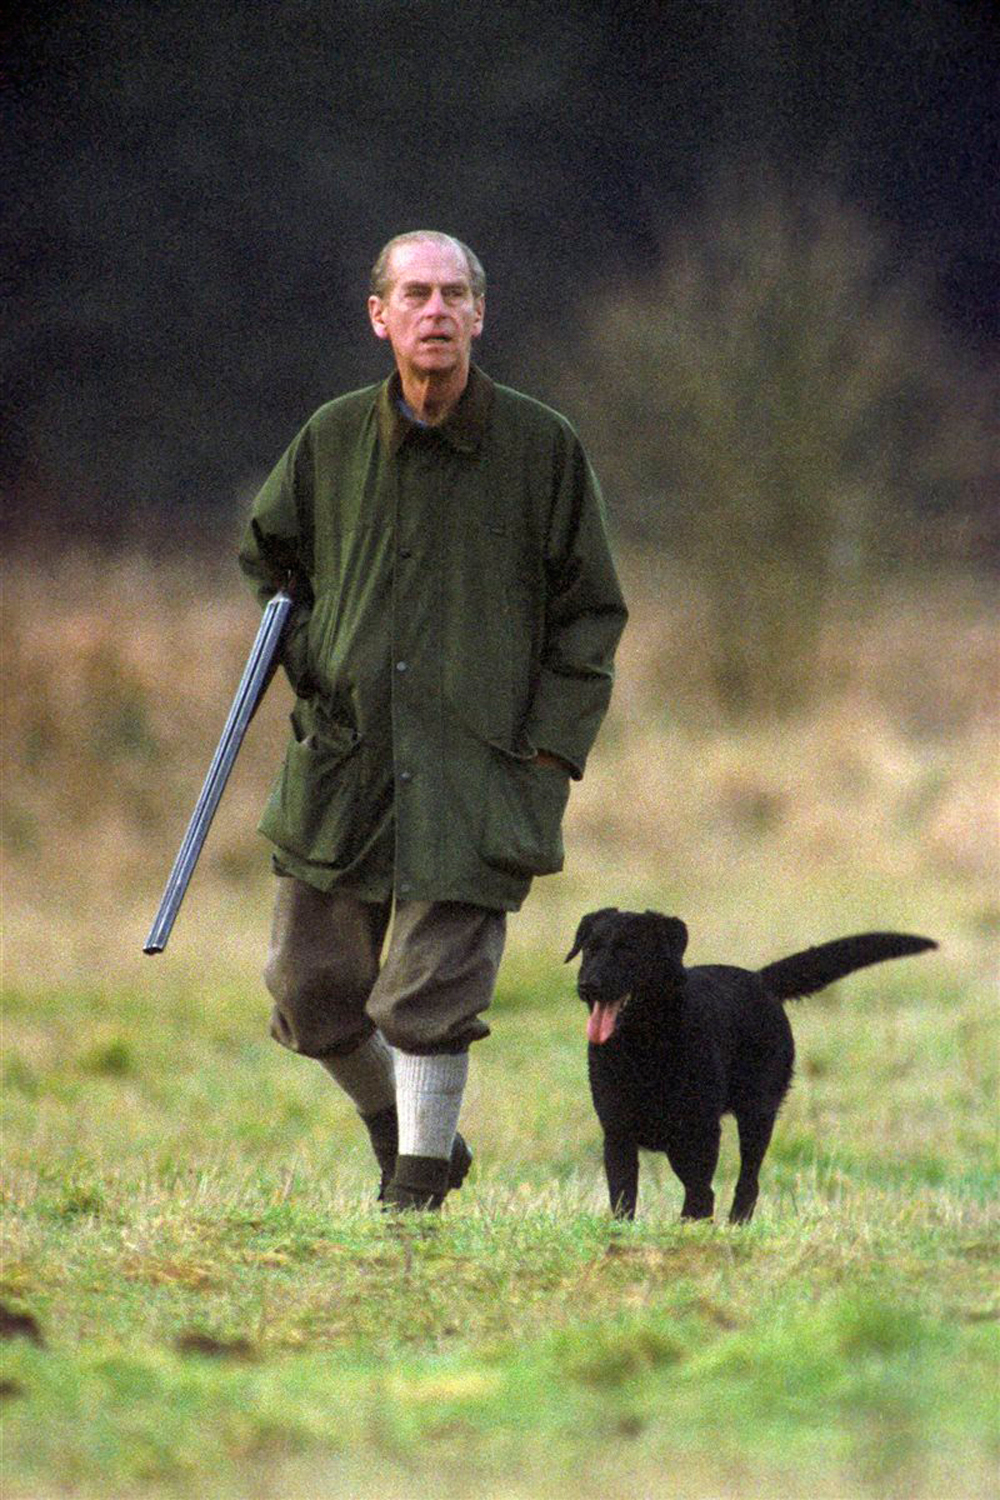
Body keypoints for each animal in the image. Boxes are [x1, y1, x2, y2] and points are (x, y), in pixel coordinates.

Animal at [569, 906, 941, 1224]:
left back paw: (737, 1223)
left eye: (629, 950)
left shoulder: (701, 1131)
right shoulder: (617, 1132)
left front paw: (691, 1228)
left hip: (758, 1113)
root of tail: (762, 981)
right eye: (589, 949)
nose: (588, 984)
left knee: (747, 1181)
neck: (642, 1048)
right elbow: (623, 1194)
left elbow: (700, 1192)